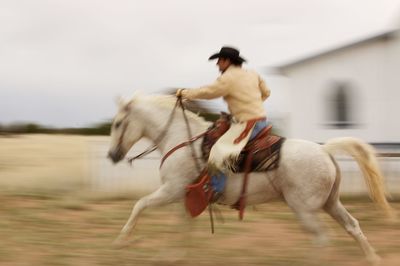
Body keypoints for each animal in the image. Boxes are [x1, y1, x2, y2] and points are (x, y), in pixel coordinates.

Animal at [108, 93, 396, 264]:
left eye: (118, 124)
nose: (112, 155)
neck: (180, 139)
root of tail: (325, 150)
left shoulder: (171, 190)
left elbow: (140, 205)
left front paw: (121, 240)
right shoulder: (184, 196)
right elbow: (181, 226)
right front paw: (172, 255)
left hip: (305, 209)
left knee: (321, 236)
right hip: (331, 203)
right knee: (352, 226)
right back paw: (373, 258)